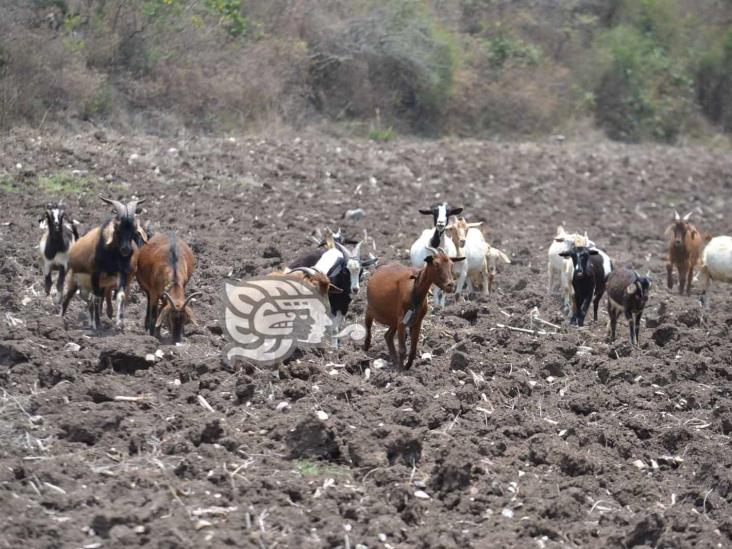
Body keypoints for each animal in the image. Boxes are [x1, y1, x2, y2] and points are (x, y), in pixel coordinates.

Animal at [61, 195, 146, 332]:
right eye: (117, 228)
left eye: (133, 228)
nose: (125, 250)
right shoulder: (95, 274)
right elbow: (96, 298)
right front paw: (98, 326)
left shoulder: (121, 273)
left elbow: (120, 295)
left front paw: (119, 325)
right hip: (74, 279)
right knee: (67, 298)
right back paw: (60, 319)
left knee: (90, 301)